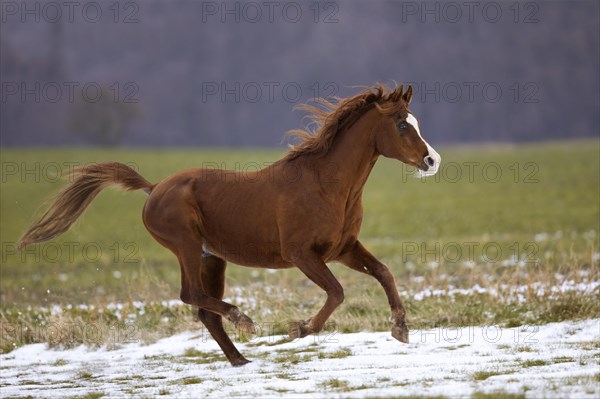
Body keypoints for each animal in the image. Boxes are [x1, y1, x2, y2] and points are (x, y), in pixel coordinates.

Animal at [18, 83, 440, 366]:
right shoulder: (302, 254)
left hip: (212, 257)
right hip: (187, 246)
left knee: (204, 309)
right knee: (190, 295)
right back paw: (245, 321)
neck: (325, 184)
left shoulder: (343, 248)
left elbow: (383, 272)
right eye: (402, 125)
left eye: (415, 121)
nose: (432, 160)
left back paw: (240, 359)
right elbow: (336, 293)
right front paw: (298, 329)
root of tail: (153, 188)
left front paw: (401, 329)